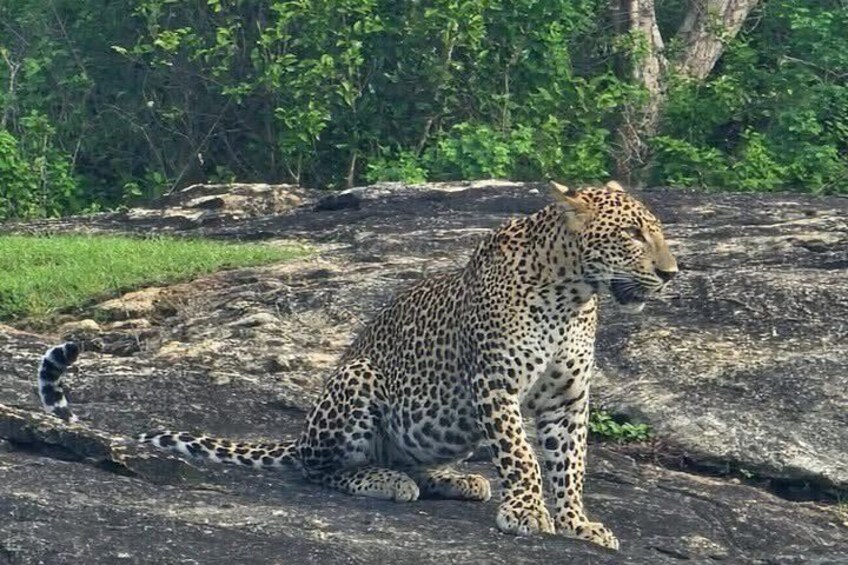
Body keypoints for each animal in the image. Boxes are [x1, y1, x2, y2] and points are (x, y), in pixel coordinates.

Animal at [37, 180, 677, 550]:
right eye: (632, 235)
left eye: (657, 234)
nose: (672, 274)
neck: (573, 293)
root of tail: (299, 436)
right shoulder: (496, 386)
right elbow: (521, 455)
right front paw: (526, 511)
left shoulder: (567, 399)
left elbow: (570, 463)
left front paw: (577, 523)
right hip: (357, 379)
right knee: (320, 470)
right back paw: (384, 480)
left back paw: (455, 480)